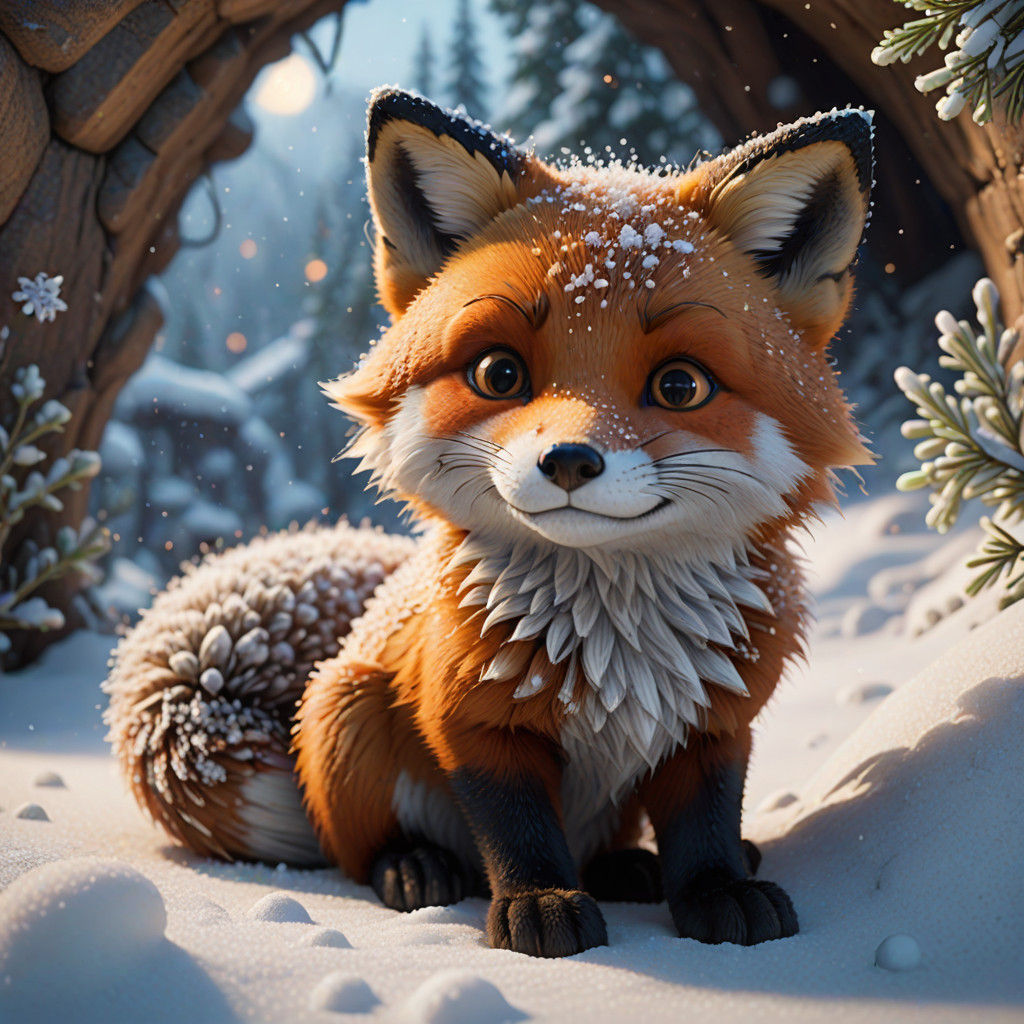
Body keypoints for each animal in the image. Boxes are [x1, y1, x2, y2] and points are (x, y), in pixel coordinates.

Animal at [106, 87, 874, 959]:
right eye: (499, 373)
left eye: (681, 386)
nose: (569, 461)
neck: (616, 648)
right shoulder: (474, 723)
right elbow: (517, 830)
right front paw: (539, 906)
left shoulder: (713, 723)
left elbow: (705, 823)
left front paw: (717, 891)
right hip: (347, 715)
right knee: (357, 853)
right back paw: (415, 868)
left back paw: (630, 868)